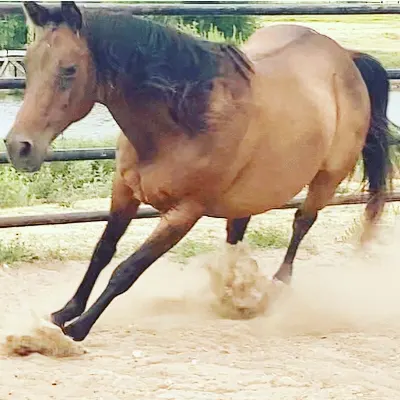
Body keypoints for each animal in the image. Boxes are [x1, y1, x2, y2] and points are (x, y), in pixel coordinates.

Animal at [3, 1, 394, 342]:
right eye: (29, 65)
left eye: (69, 69)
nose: (19, 147)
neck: (185, 120)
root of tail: (346, 57)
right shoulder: (124, 191)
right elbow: (102, 251)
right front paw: (63, 312)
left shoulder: (184, 213)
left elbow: (127, 270)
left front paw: (78, 328)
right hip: (251, 191)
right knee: (237, 231)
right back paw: (235, 291)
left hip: (325, 179)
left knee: (301, 223)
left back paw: (275, 287)